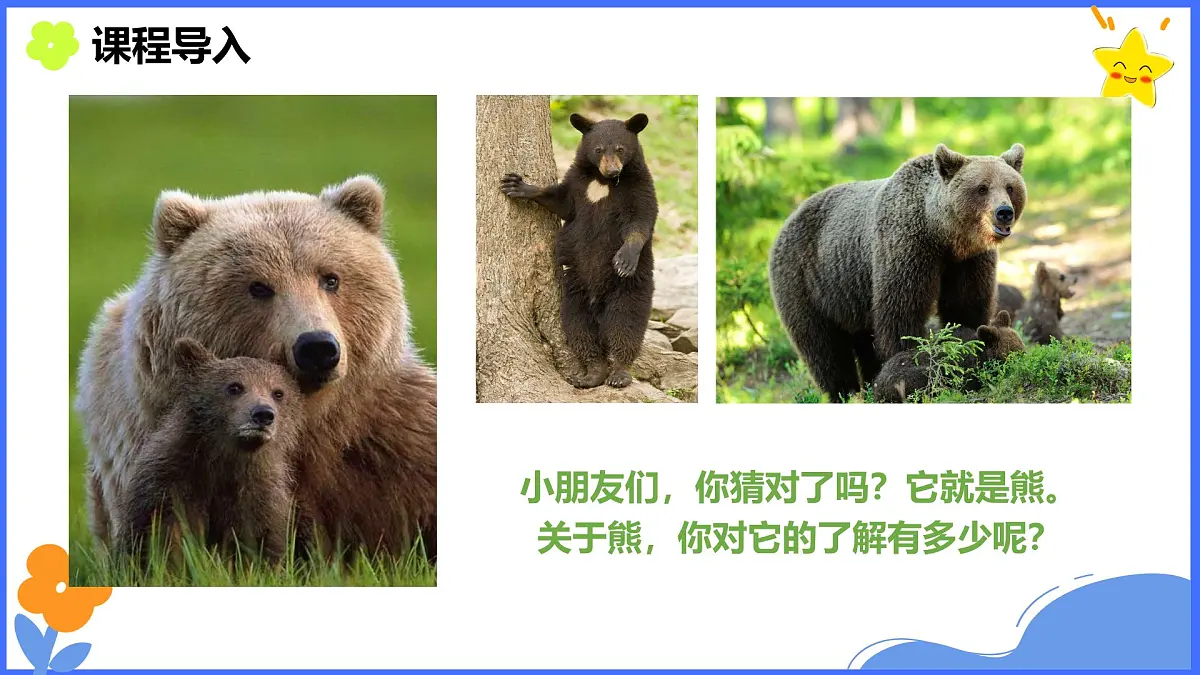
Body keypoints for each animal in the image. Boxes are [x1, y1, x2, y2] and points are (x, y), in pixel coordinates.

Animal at [117, 338, 301, 562]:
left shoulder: (259, 499)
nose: (263, 414)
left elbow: (260, 545)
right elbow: (165, 539)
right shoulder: (170, 487)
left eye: (278, 392)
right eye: (234, 387)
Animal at [499, 113, 658, 389]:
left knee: (626, 322)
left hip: (631, 286)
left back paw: (619, 372)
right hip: (575, 288)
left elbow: (640, 220)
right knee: (577, 326)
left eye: (620, 148)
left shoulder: (640, 187)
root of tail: (598, 301)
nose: (613, 170)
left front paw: (625, 257)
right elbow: (561, 202)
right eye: (598, 149)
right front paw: (518, 186)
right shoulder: (577, 184)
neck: (602, 182)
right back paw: (593, 372)